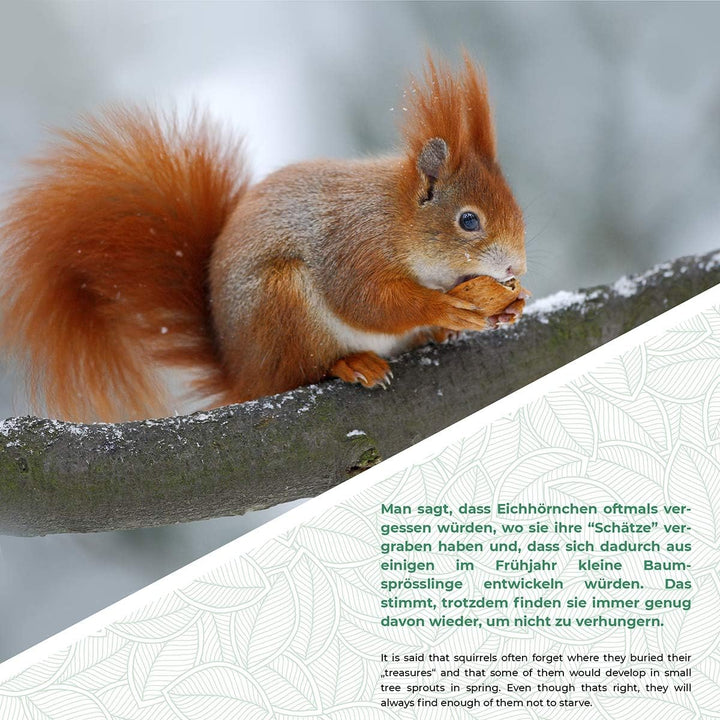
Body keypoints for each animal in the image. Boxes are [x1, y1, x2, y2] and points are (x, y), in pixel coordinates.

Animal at [0, 55, 526, 423]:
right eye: (469, 221)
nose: (515, 269)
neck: (395, 218)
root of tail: (243, 375)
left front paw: (511, 306)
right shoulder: (353, 246)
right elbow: (365, 301)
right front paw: (444, 308)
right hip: (283, 303)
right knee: (300, 372)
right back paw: (354, 364)